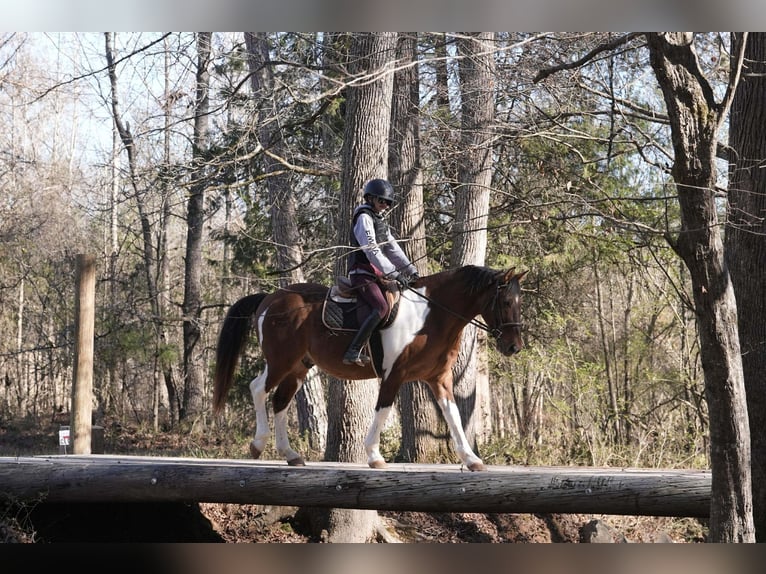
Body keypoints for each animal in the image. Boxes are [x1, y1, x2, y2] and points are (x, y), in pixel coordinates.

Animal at [212, 265, 527, 471]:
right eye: (506, 301)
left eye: (518, 301)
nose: (515, 347)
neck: (432, 315)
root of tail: (270, 298)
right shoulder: (393, 375)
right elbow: (383, 411)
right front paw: (374, 456)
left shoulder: (440, 378)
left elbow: (453, 415)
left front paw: (471, 459)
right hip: (281, 361)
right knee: (258, 389)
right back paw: (258, 444)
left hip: (299, 367)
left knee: (280, 401)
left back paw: (290, 454)